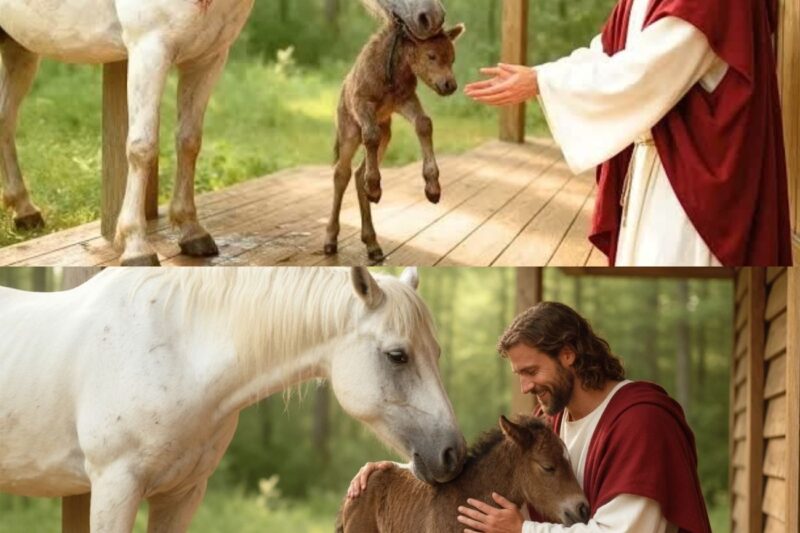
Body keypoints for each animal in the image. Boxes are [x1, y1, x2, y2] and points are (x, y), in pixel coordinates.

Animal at [0, 0, 446, 266]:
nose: (432, 16)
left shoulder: (209, 56)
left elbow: (189, 141)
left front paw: (191, 232)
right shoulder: (149, 49)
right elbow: (142, 147)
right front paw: (136, 246)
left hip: (19, 47)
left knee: (5, 120)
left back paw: (24, 210)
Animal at [0, 266, 466, 532]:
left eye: (437, 352)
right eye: (397, 355)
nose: (452, 455)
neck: (178, 350)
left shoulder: (182, 494)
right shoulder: (115, 486)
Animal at [325, 17, 464, 261]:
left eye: (452, 58)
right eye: (431, 56)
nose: (450, 85)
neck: (394, 70)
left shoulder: (404, 100)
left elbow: (424, 123)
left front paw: (432, 187)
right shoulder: (363, 102)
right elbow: (369, 135)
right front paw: (374, 187)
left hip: (386, 132)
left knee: (359, 172)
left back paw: (372, 244)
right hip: (349, 129)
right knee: (342, 173)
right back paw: (331, 239)